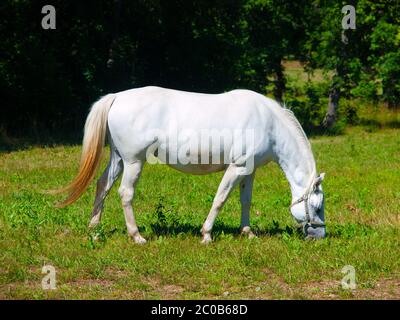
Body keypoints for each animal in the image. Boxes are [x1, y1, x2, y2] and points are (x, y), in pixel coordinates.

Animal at [55, 86, 324, 244]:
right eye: (317, 206)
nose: (321, 235)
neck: (269, 124)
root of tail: (117, 97)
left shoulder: (249, 170)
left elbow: (245, 200)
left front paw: (247, 232)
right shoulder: (236, 168)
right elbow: (220, 199)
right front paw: (206, 235)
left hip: (118, 159)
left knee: (103, 186)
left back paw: (94, 230)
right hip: (133, 161)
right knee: (125, 193)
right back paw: (136, 236)